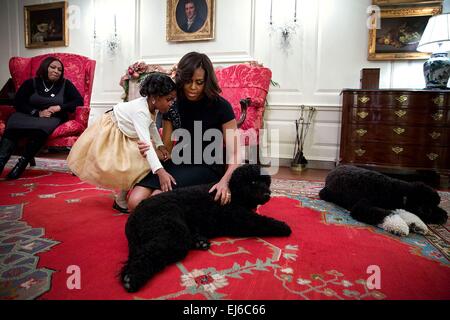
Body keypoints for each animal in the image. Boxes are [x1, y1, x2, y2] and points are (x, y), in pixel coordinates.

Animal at [119, 165, 290, 292]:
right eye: (253, 182)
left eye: (266, 182)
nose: (268, 194)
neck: (234, 193)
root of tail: (133, 217)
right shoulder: (240, 218)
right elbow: (262, 222)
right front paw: (283, 226)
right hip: (172, 232)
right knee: (148, 253)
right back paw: (132, 278)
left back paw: (200, 241)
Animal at [318, 166, 448, 236]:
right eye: (428, 209)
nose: (446, 216)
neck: (399, 192)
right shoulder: (362, 206)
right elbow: (386, 213)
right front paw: (400, 226)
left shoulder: (396, 205)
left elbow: (403, 212)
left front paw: (418, 224)